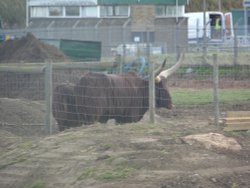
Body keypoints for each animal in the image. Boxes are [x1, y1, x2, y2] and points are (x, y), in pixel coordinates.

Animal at [52, 54, 184, 131]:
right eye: (160, 87)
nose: (171, 104)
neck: (141, 88)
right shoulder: (130, 118)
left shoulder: (120, 119)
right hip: (91, 118)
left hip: (65, 123)